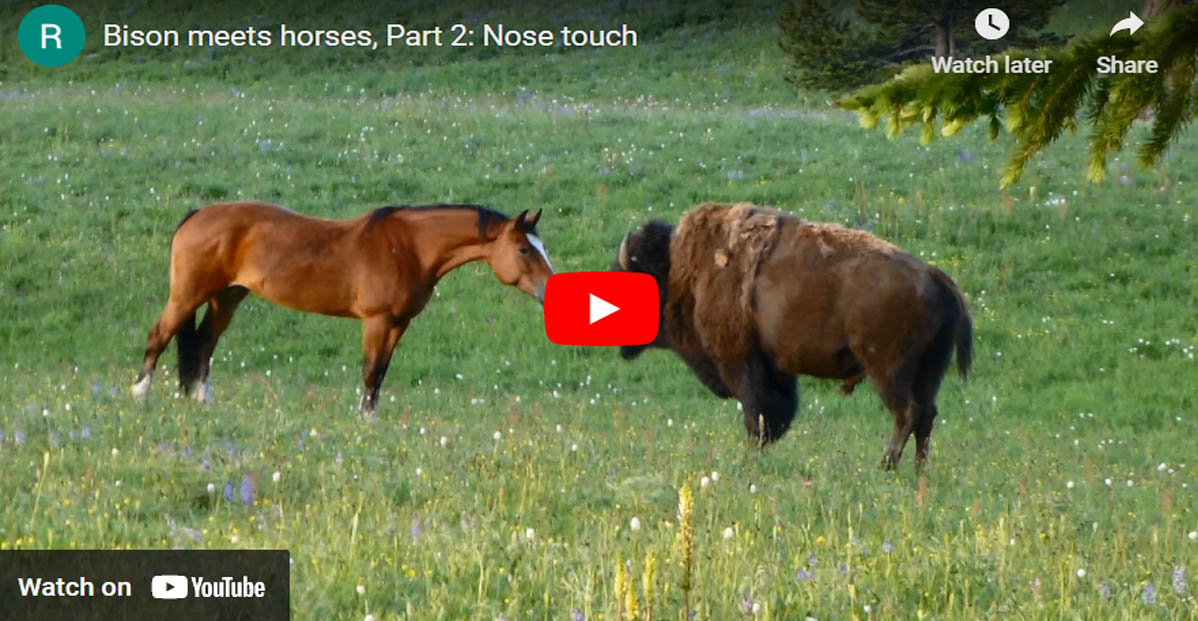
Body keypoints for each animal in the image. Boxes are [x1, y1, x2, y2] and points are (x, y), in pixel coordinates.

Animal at [132, 202, 555, 412]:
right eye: (523, 249)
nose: (548, 290)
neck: (409, 247)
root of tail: (197, 215)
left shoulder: (398, 323)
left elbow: (380, 374)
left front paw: (373, 419)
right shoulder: (376, 321)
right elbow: (369, 372)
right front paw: (363, 423)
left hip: (228, 296)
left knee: (203, 344)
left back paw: (201, 403)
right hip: (188, 295)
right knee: (159, 335)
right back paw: (140, 396)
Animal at [613, 202, 967, 469]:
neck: (683, 274)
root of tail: (935, 276)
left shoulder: (741, 364)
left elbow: (755, 417)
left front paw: (750, 459)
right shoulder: (775, 370)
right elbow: (772, 417)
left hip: (888, 370)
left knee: (907, 412)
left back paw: (886, 466)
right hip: (929, 370)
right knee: (926, 415)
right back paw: (918, 470)